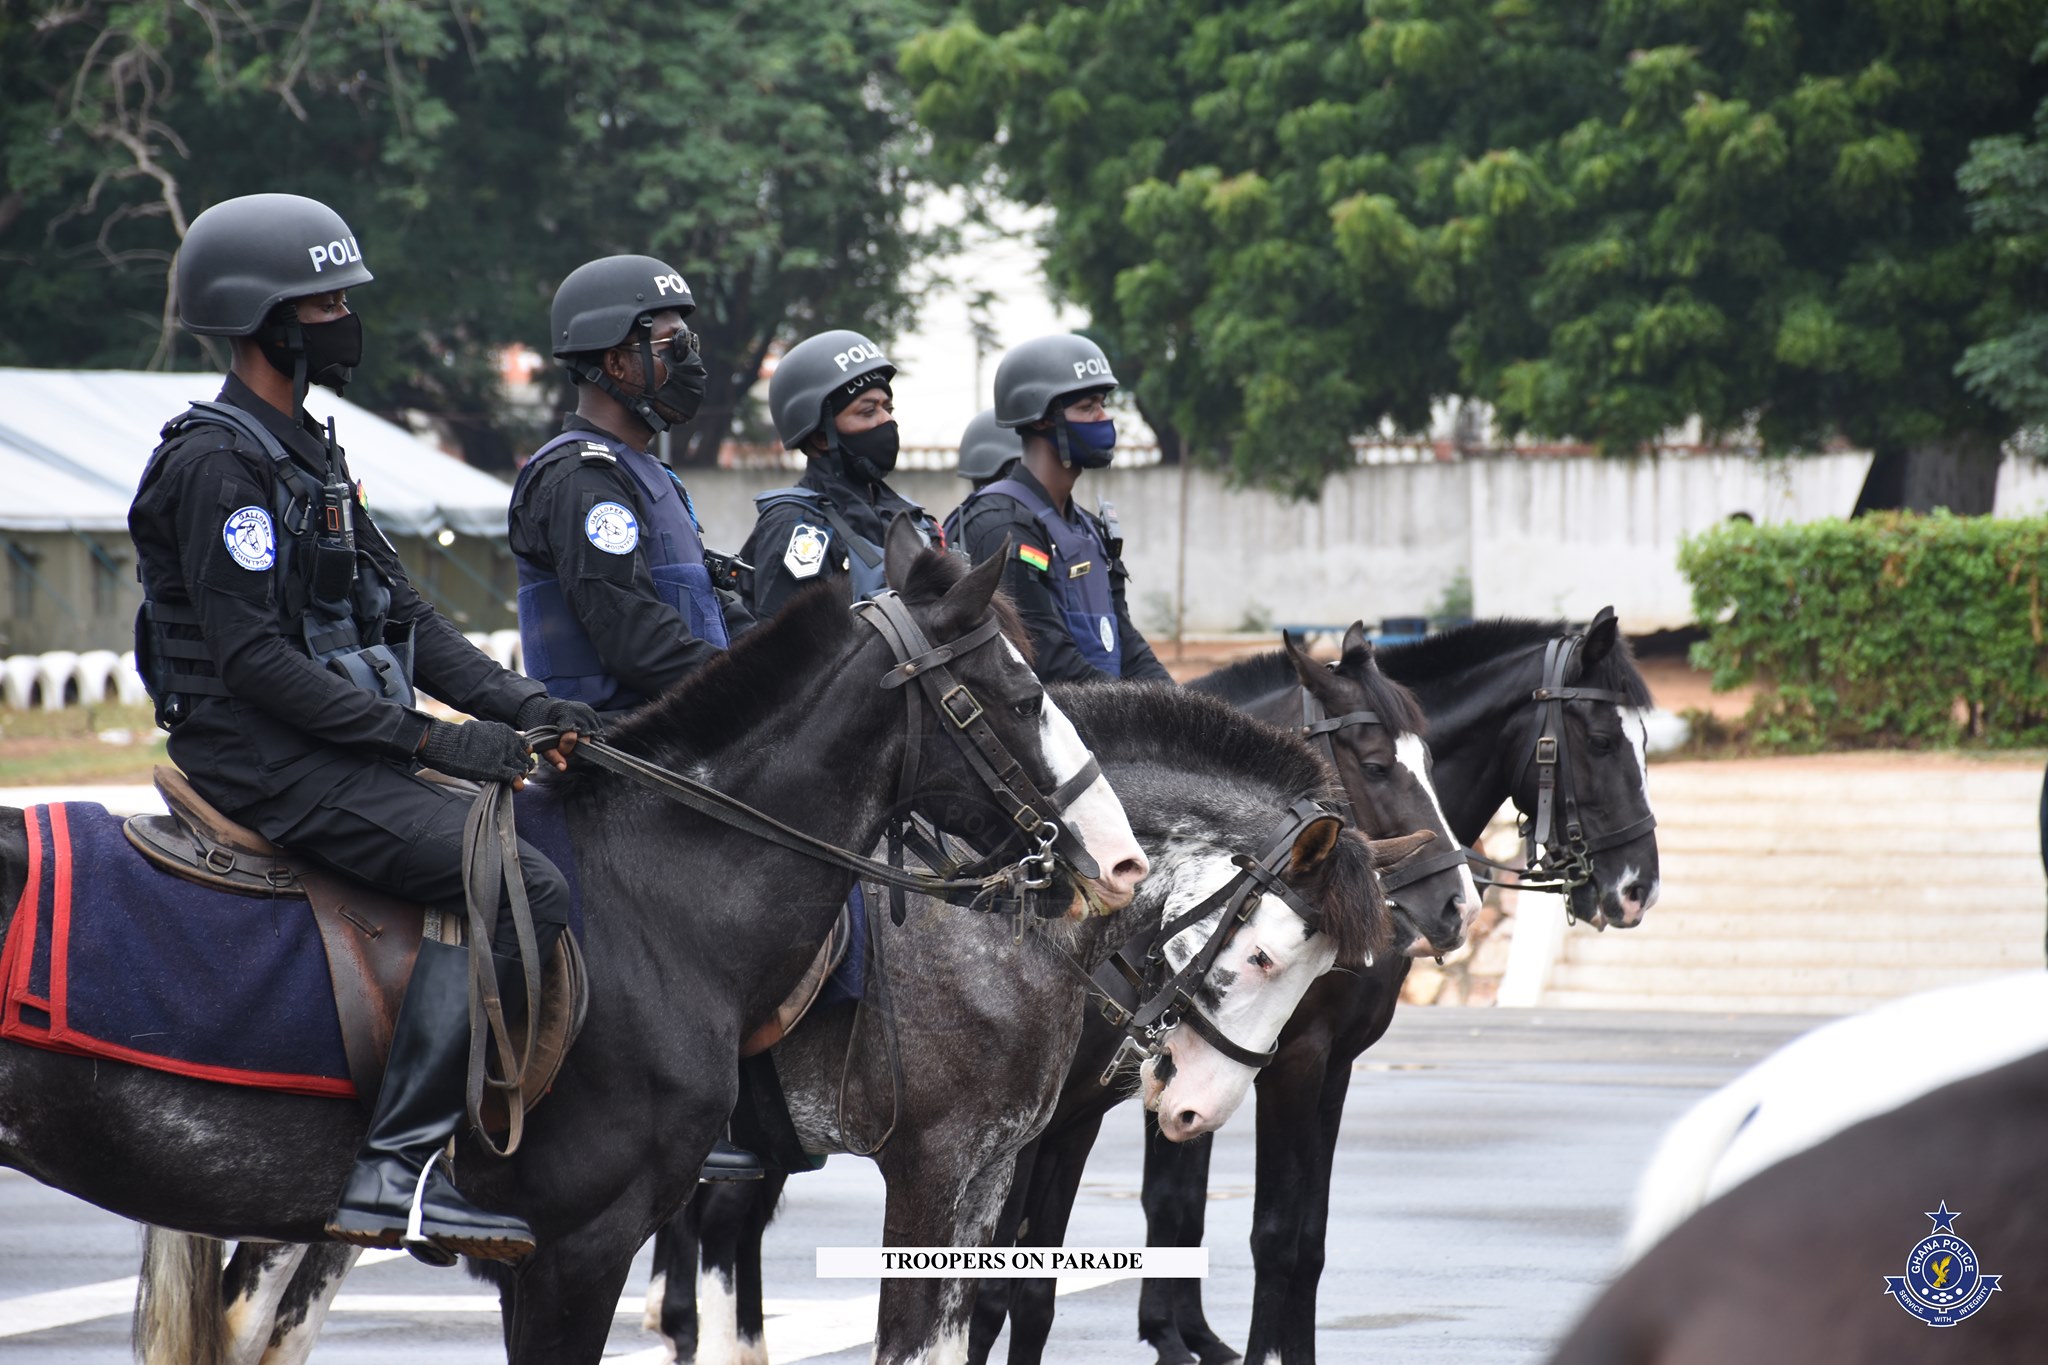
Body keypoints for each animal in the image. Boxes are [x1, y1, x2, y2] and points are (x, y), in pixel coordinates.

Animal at [974, 609, 1662, 1365]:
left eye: (1429, 761)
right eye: (1601, 741)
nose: (1639, 887)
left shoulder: (1324, 1066)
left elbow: (1300, 1236)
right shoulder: (1283, 1063)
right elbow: (1261, 1231)